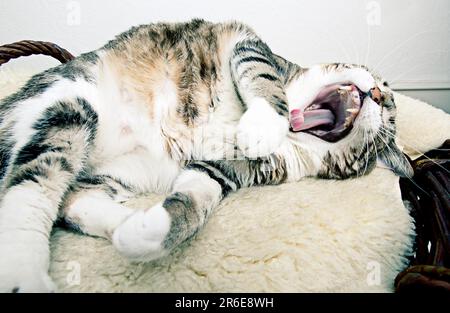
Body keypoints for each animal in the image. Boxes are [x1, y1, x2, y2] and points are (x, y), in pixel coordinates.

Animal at [0, 19, 412, 292]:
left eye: (390, 118)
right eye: (386, 91)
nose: (379, 95)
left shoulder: (232, 168)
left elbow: (197, 197)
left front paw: (151, 233)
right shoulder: (248, 43)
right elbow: (263, 77)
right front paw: (262, 125)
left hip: (112, 172)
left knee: (73, 201)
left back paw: (127, 223)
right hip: (69, 106)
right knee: (30, 191)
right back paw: (23, 271)